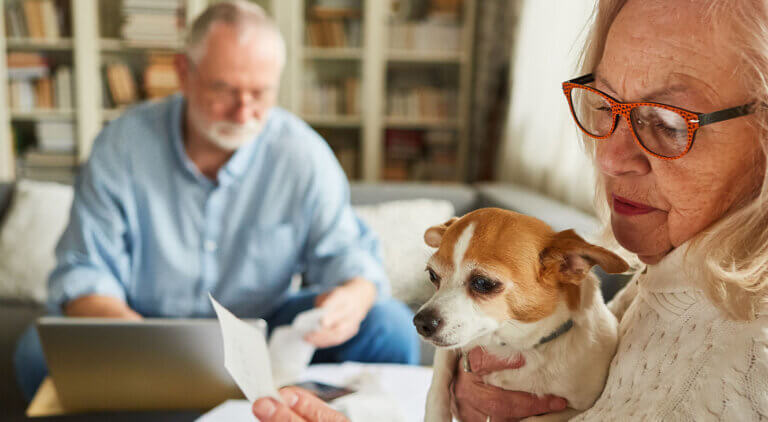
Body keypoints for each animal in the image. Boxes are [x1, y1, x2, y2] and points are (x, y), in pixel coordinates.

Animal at [416, 209, 628, 422]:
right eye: (432, 275)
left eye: (483, 283)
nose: (420, 323)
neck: (512, 345)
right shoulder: (453, 347)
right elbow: (438, 384)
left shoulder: (577, 408)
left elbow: (533, 419)